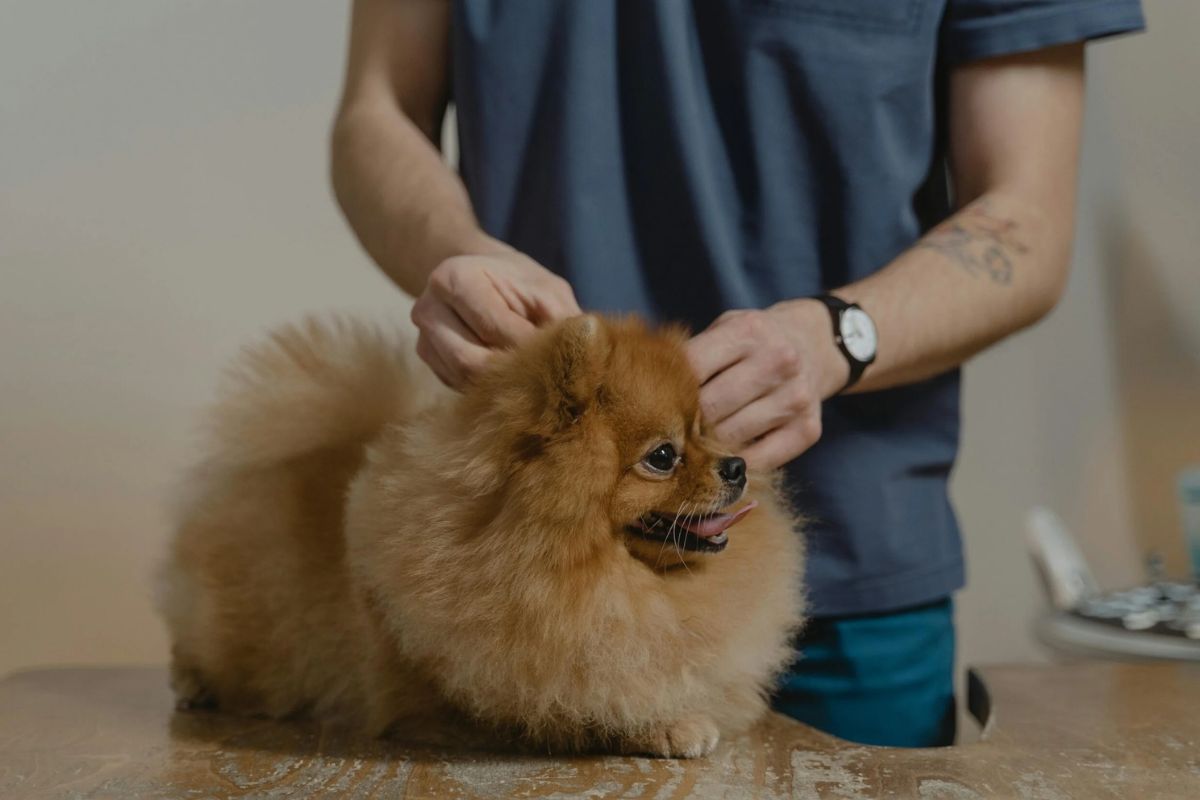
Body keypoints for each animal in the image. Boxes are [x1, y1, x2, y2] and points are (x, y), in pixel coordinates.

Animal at [159, 311, 801, 758]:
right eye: (664, 456)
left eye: (706, 431)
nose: (738, 465)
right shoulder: (474, 695)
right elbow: (572, 707)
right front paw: (666, 724)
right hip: (242, 634)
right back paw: (192, 682)